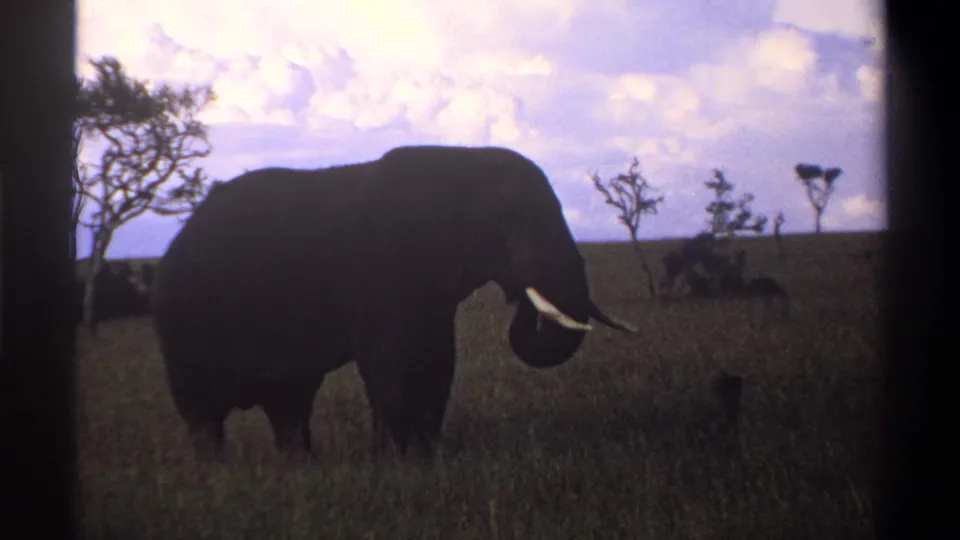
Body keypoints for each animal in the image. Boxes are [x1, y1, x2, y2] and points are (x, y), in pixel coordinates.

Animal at [152, 145, 637, 461]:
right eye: (512, 223)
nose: (521, 296)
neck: (464, 164)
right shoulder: (379, 269)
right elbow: (393, 362)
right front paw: (401, 463)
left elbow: (438, 362)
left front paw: (427, 458)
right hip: (184, 318)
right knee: (203, 411)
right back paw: (216, 472)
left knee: (289, 402)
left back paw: (298, 466)